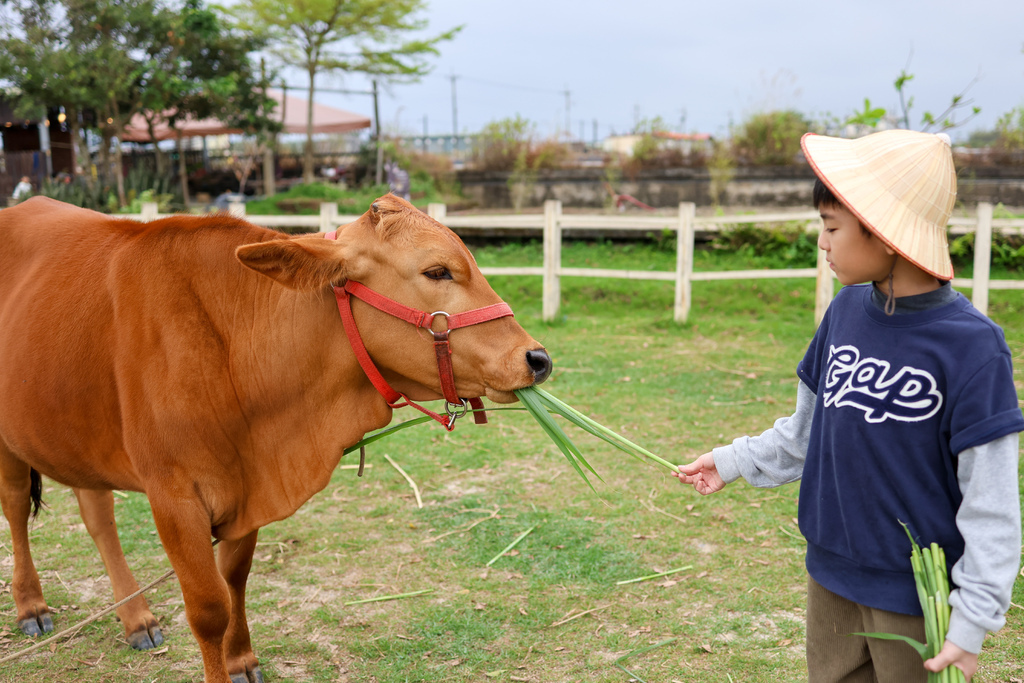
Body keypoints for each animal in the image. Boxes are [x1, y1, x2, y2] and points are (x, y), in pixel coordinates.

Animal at [0, 194, 552, 679]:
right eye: (437, 271)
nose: (537, 358)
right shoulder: (174, 496)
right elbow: (208, 608)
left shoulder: (246, 485)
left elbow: (236, 579)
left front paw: (242, 659)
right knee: (17, 507)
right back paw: (31, 606)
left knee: (97, 513)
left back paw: (136, 617)